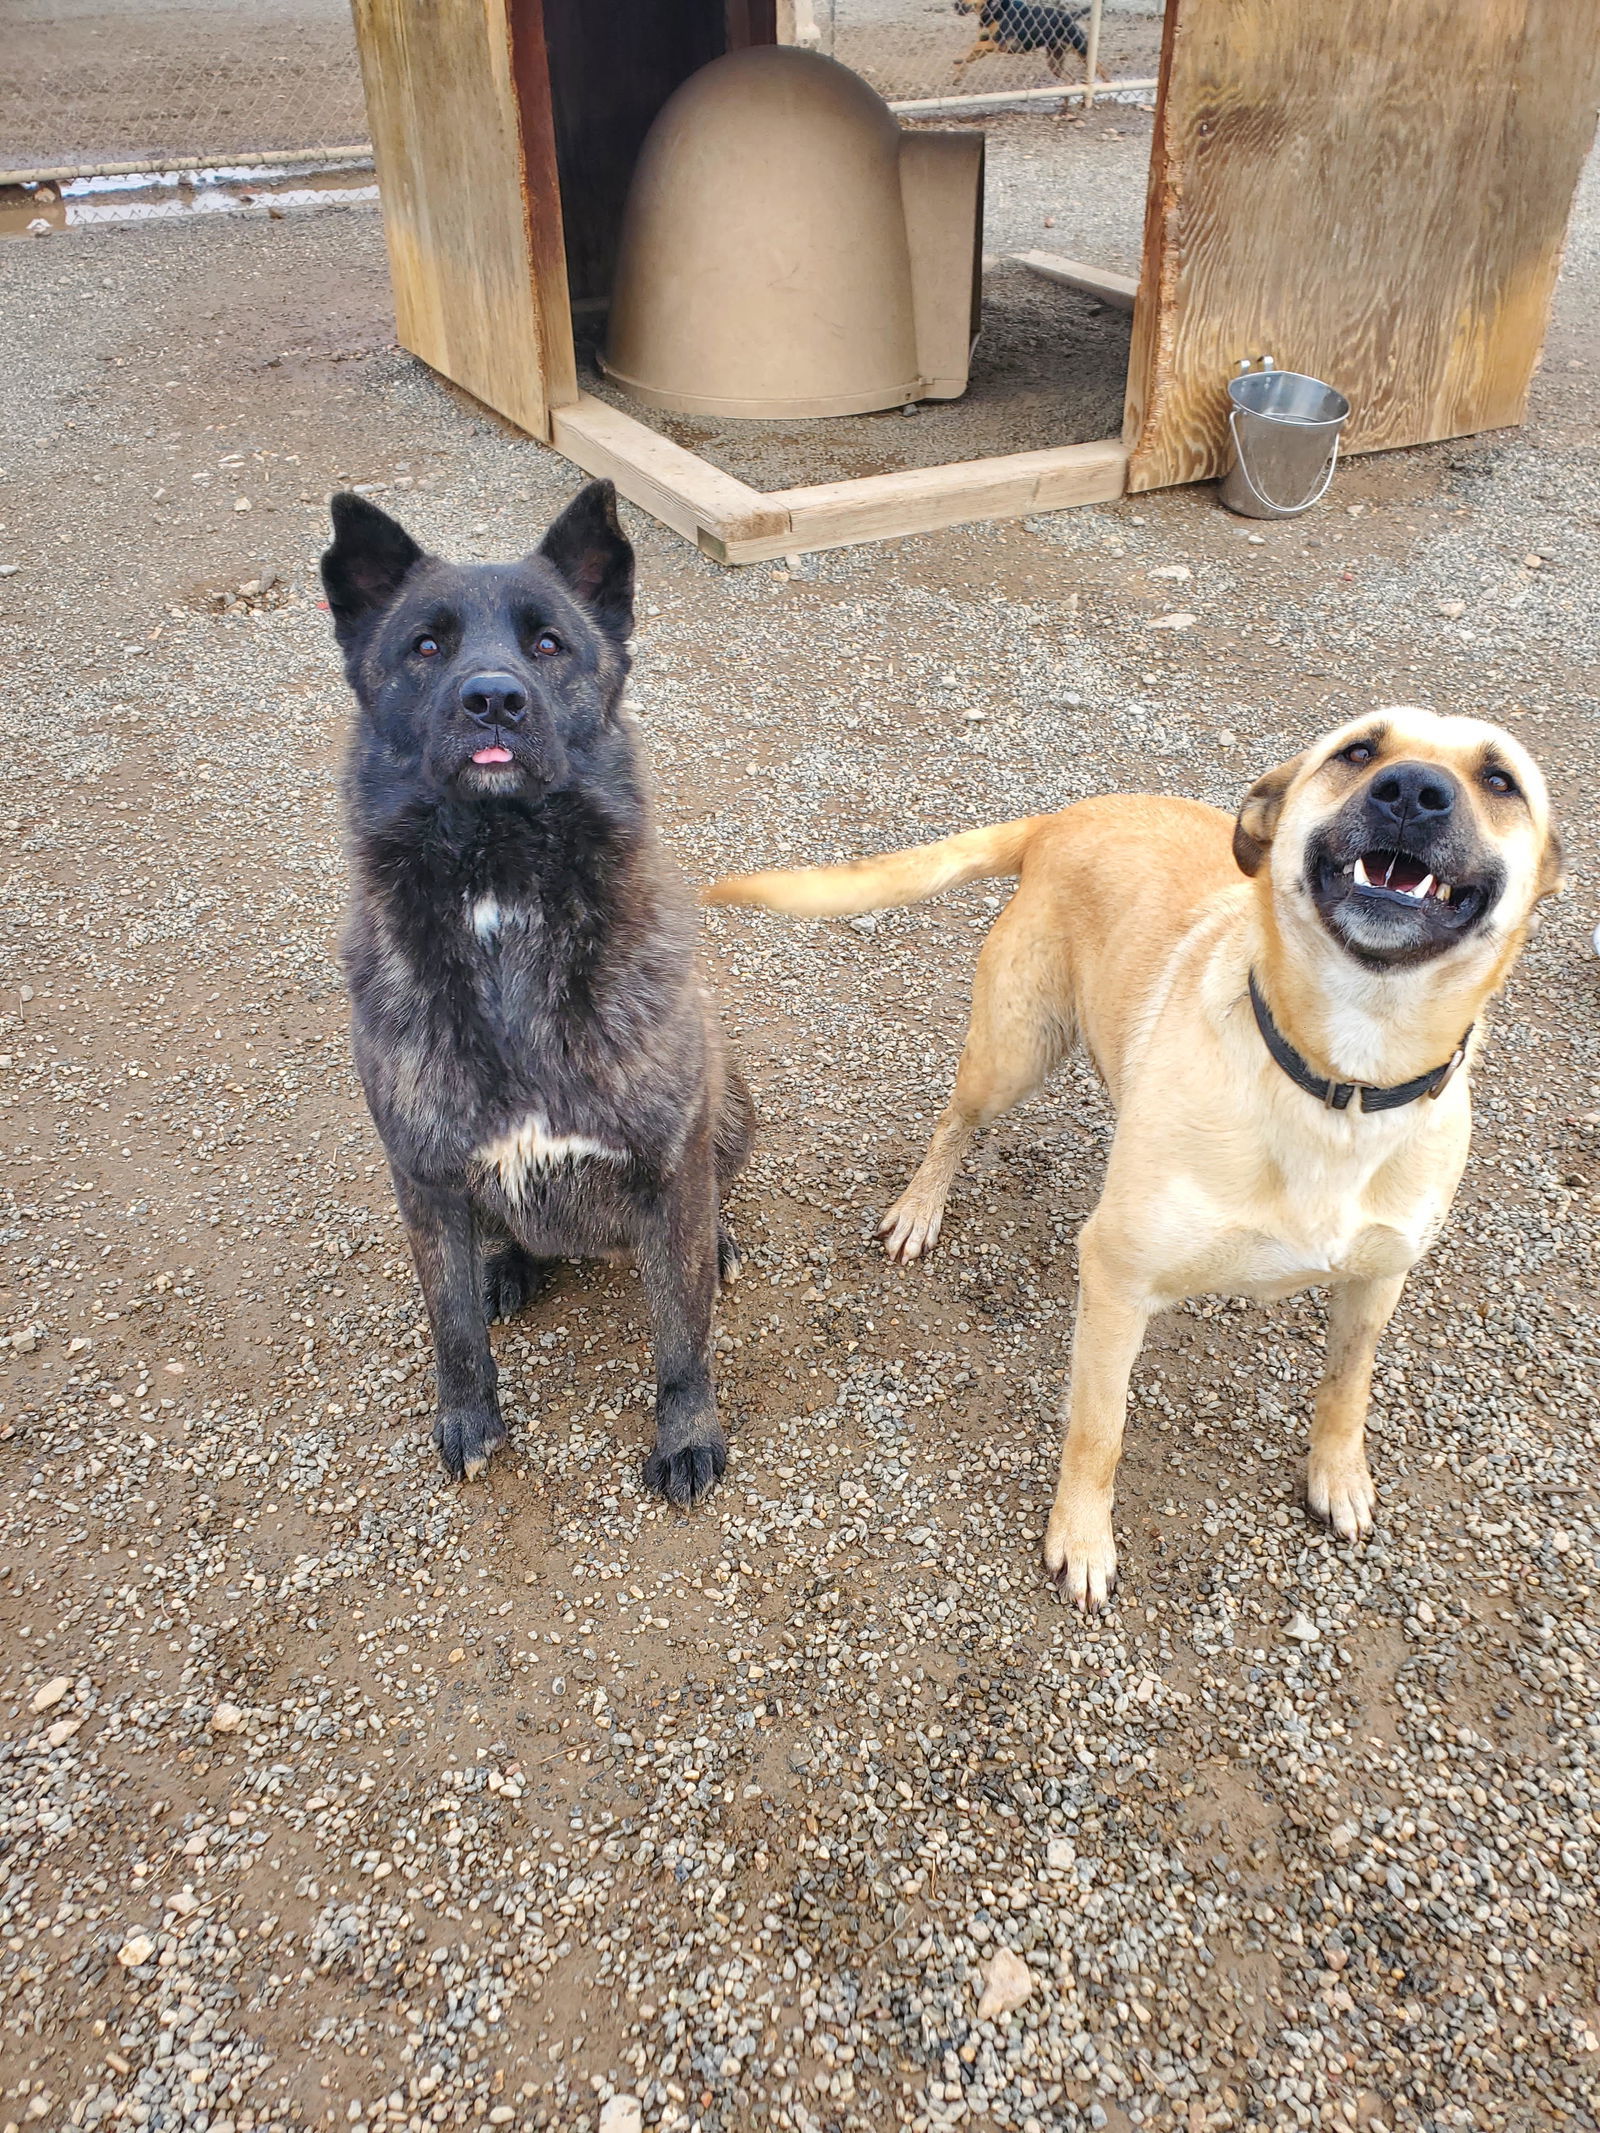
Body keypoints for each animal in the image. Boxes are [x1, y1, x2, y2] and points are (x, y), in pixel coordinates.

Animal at [324, 475, 759, 1510]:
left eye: (550, 643)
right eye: (426, 646)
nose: (493, 699)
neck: (501, 889)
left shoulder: (666, 1160)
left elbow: (681, 1332)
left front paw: (688, 1432)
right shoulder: (425, 1175)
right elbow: (451, 1329)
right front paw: (469, 1416)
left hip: (729, 1107)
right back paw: (510, 1264)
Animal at [712, 708, 1570, 1604]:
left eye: (1500, 780)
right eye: (1358, 750)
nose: (1412, 792)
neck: (1343, 1078)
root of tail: (1064, 817)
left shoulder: (1380, 1277)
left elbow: (1346, 1387)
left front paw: (1338, 1477)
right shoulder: (1117, 1282)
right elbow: (1100, 1429)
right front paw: (1082, 1540)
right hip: (1012, 1051)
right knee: (954, 1122)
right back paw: (919, 1208)